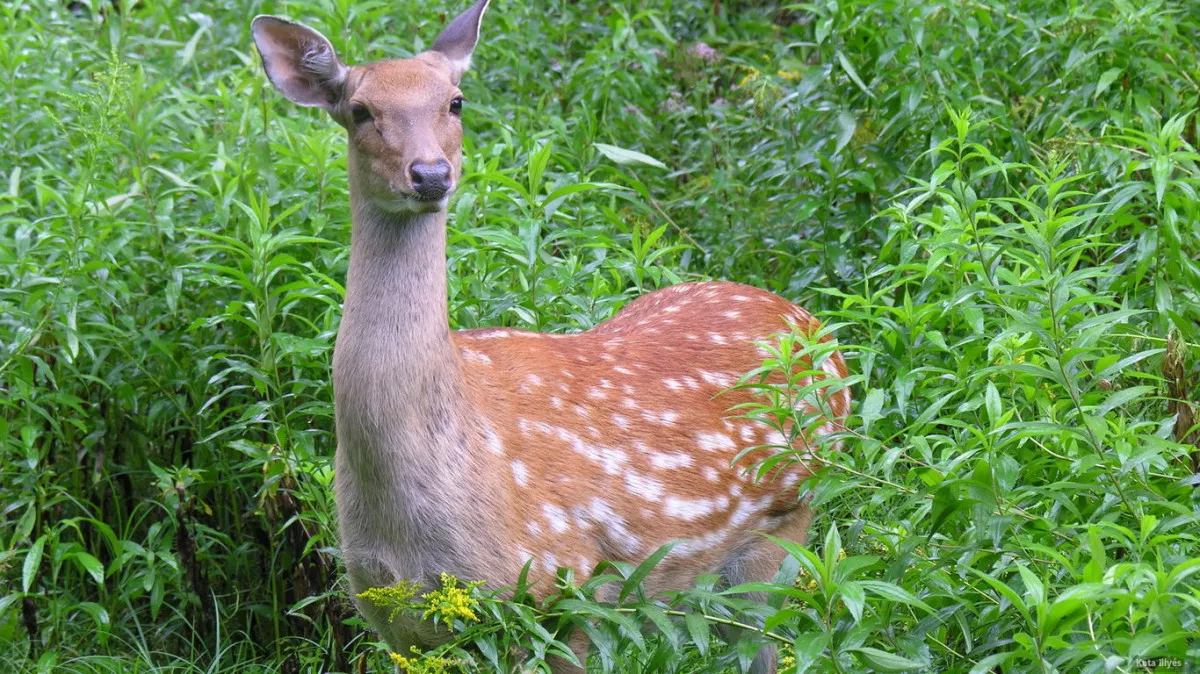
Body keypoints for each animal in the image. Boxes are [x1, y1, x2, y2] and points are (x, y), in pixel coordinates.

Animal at [250, 2, 854, 666]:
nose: (430, 174)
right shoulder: (391, 618)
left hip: (788, 517)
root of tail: (819, 332)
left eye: (456, 101)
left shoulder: (562, 589)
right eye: (359, 110)